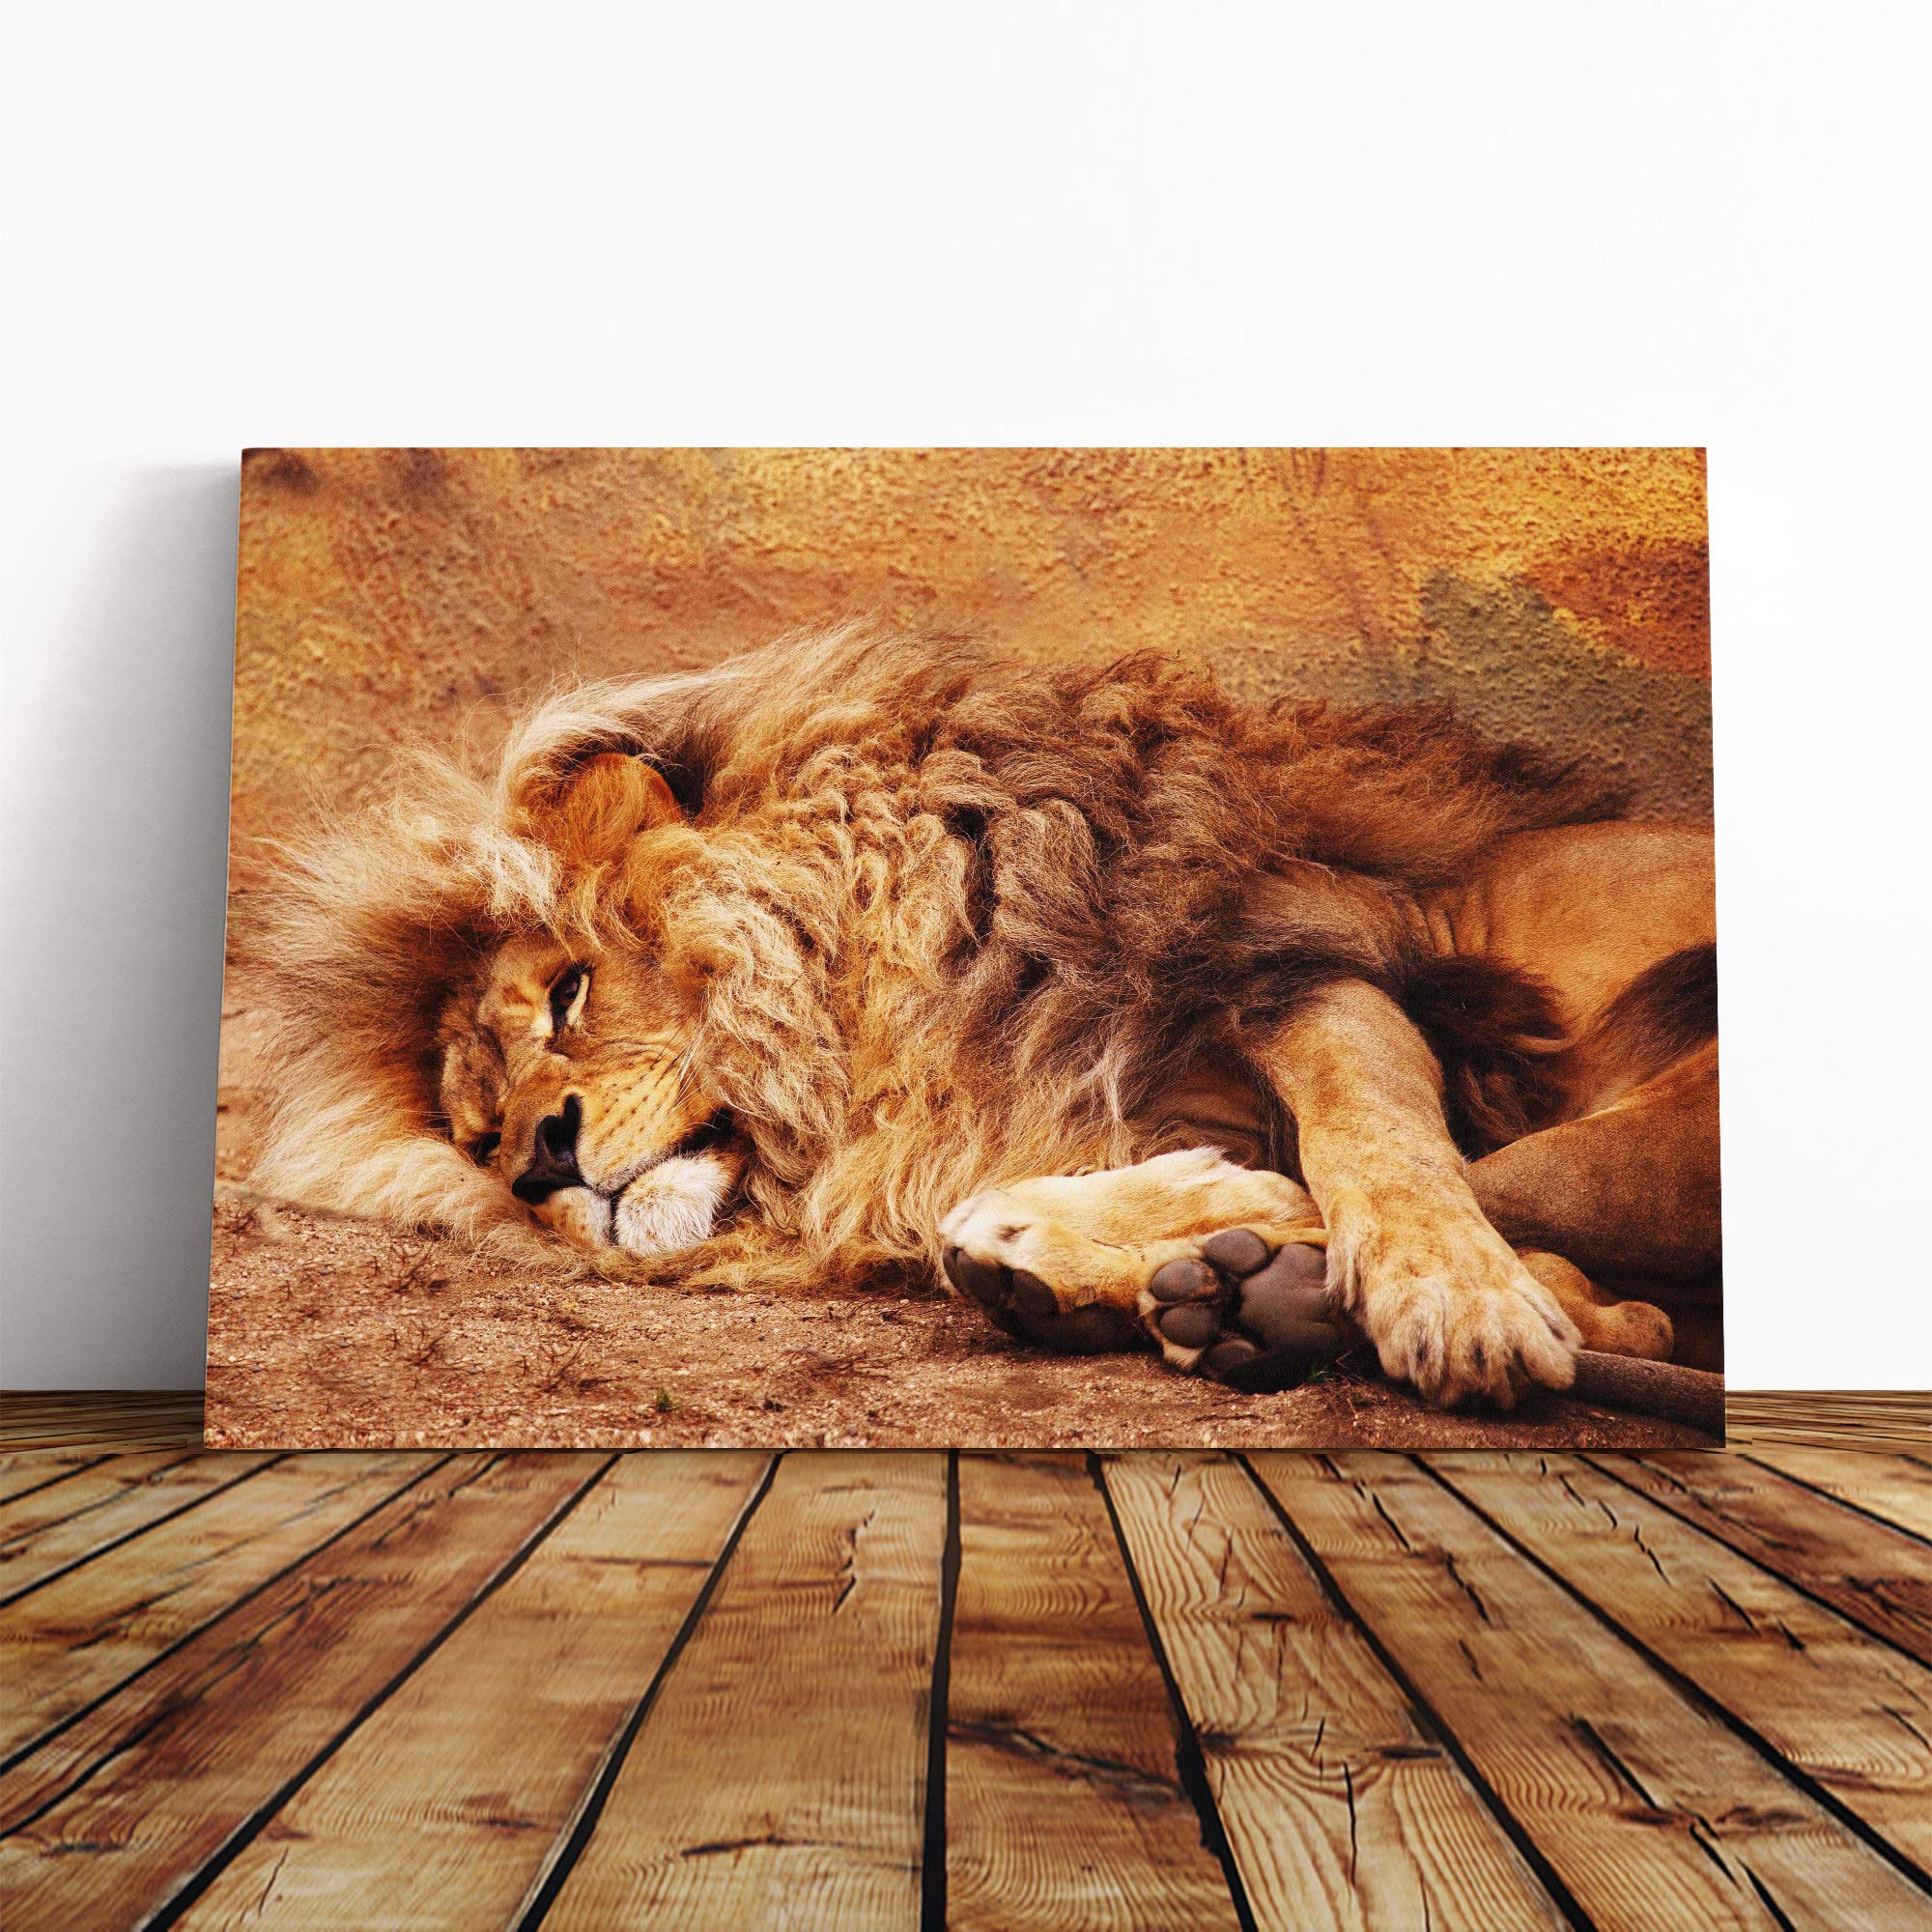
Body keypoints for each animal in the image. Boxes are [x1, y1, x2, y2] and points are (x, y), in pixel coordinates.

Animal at [249, 626, 1719, 1410]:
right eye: (478, 1135)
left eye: (568, 991)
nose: (542, 1161)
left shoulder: (1287, 960)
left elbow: (1375, 1143)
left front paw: (1450, 1300)